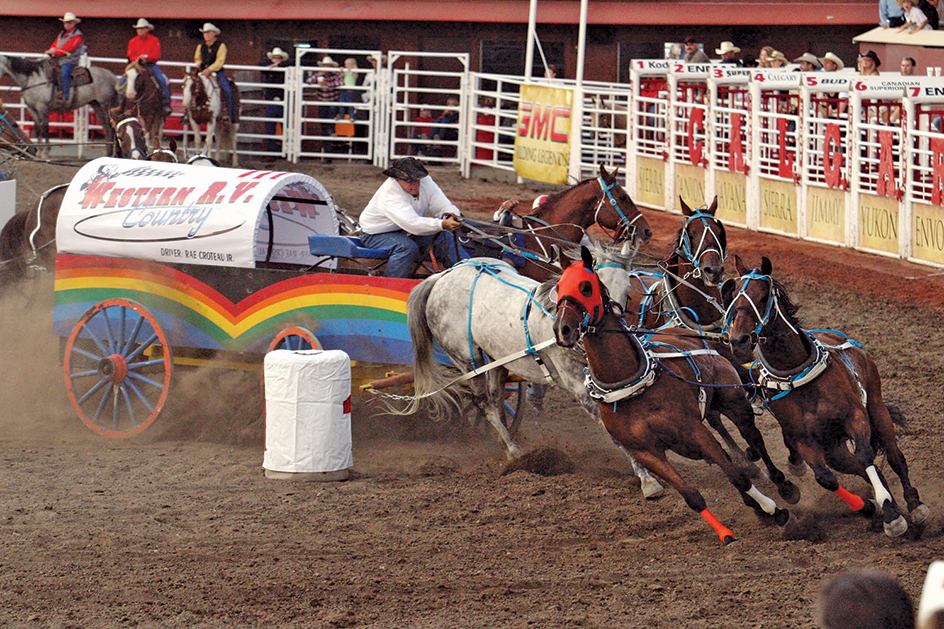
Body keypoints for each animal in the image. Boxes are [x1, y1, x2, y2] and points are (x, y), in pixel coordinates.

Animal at [552, 248, 796, 544]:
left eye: (586, 287)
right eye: (558, 287)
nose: (562, 330)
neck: (631, 384)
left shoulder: (693, 431)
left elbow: (735, 476)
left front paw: (774, 510)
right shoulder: (647, 453)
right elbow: (692, 496)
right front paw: (726, 532)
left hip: (734, 402)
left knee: (753, 437)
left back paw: (783, 484)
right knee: (721, 427)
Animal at [724, 254, 928, 536]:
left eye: (763, 296)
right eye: (734, 296)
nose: (739, 339)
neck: (797, 377)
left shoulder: (855, 416)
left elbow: (866, 455)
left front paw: (891, 513)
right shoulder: (804, 440)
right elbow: (826, 478)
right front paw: (873, 507)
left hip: (877, 410)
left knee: (895, 458)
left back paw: (914, 505)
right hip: (834, 449)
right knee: (862, 468)